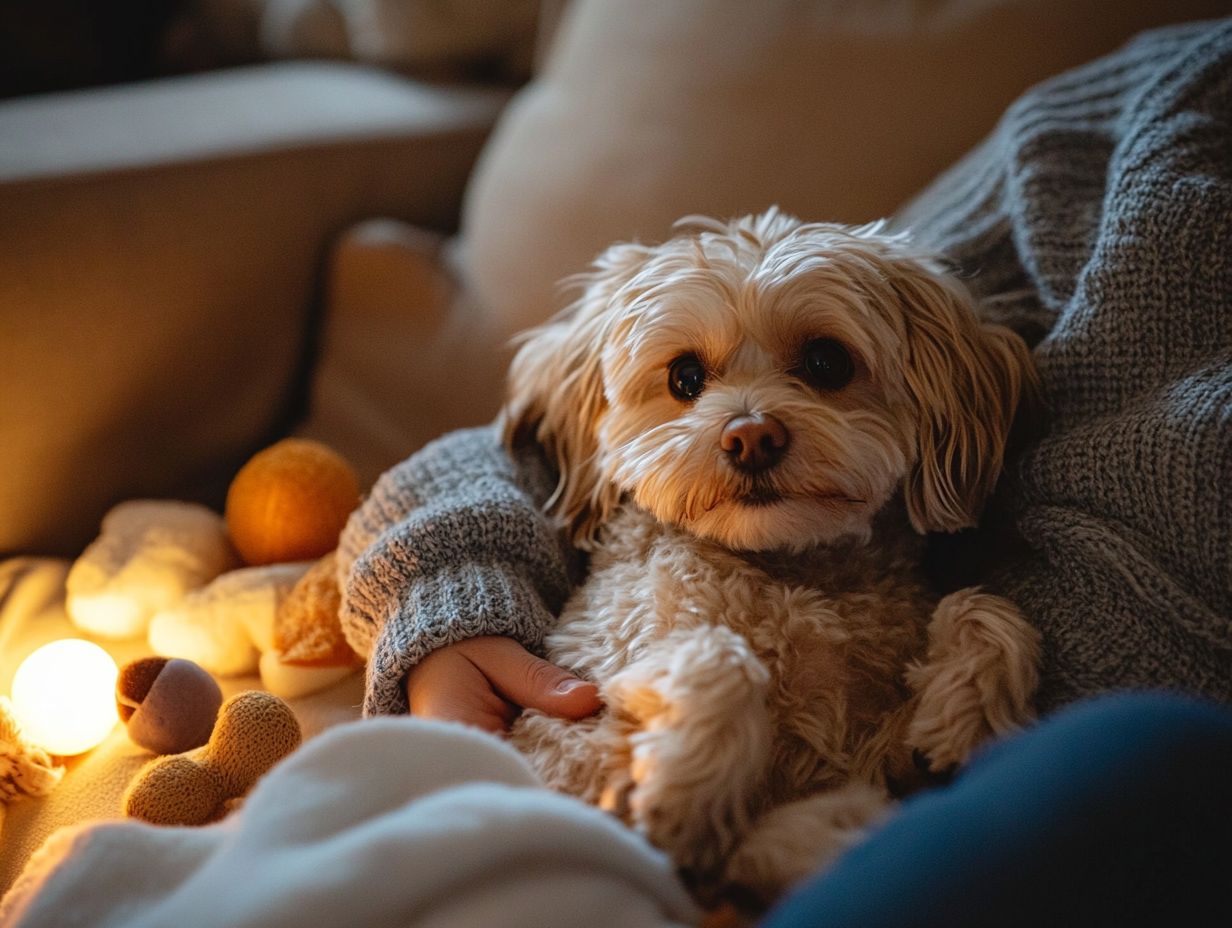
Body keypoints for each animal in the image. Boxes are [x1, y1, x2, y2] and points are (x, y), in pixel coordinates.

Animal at [500, 208, 1039, 907]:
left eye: (826, 361)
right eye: (684, 378)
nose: (752, 437)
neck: (781, 568)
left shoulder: (865, 761)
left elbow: (983, 611)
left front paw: (963, 711)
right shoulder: (571, 719)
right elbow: (723, 660)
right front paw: (680, 789)